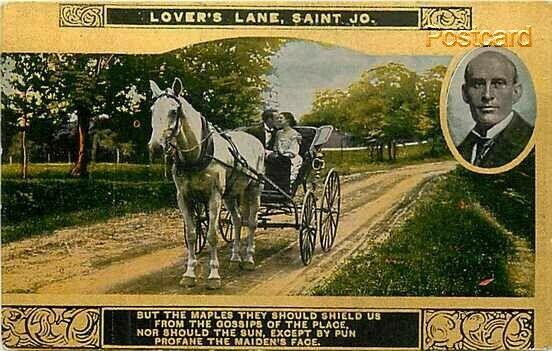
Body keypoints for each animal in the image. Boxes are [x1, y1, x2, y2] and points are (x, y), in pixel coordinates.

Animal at [149, 78, 266, 290]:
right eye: (152, 110)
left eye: (174, 111)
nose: (155, 147)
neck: (198, 155)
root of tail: (254, 139)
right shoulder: (183, 198)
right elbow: (192, 235)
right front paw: (189, 274)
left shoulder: (214, 197)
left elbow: (212, 235)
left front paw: (213, 275)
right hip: (230, 194)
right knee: (237, 220)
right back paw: (235, 257)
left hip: (254, 189)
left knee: (252, 222)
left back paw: (248, 258)